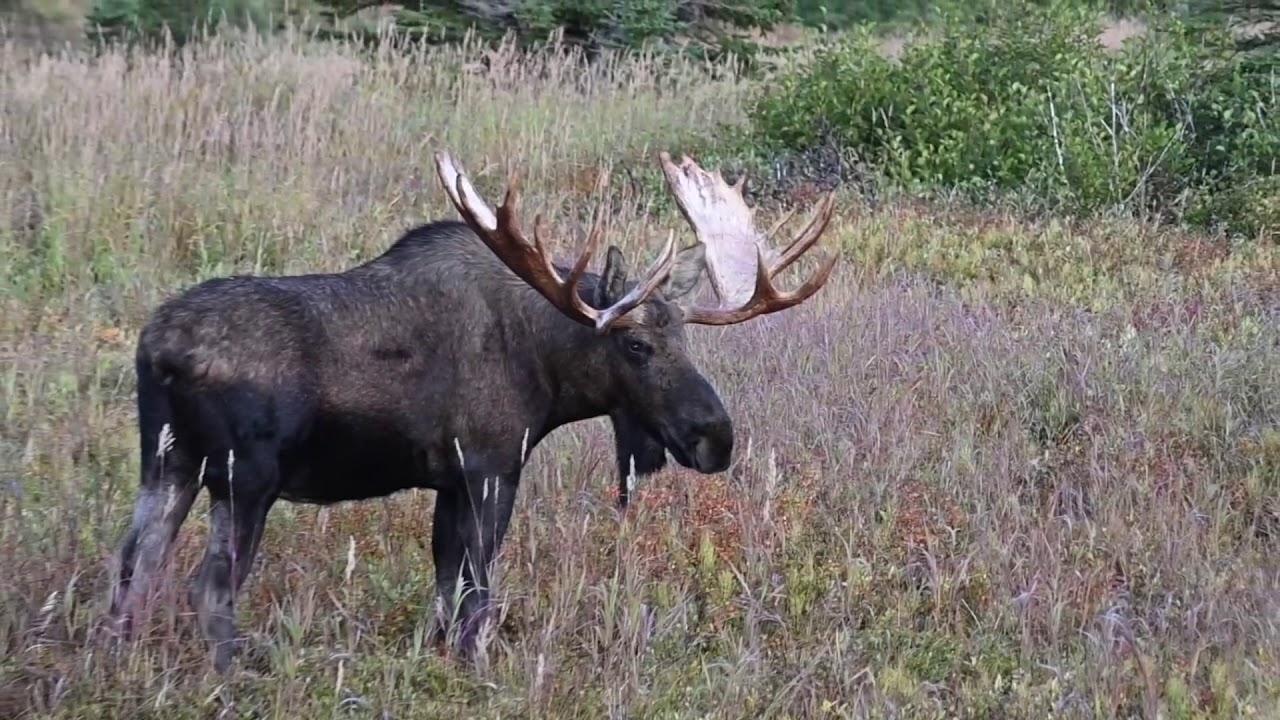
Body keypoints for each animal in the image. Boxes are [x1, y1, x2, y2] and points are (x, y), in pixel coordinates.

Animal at [110, 148, 839, 671]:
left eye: (685, 337)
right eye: (635, 344)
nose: (717, 436)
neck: (549, 372)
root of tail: (159, 349)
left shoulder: (449, 479)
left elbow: (445, 584)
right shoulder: (491, 463)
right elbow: (477, 591)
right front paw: (476, 670)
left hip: (168, 462)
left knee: (131, 569)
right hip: (244, 477)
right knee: (207, 585)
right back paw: (229, 678)